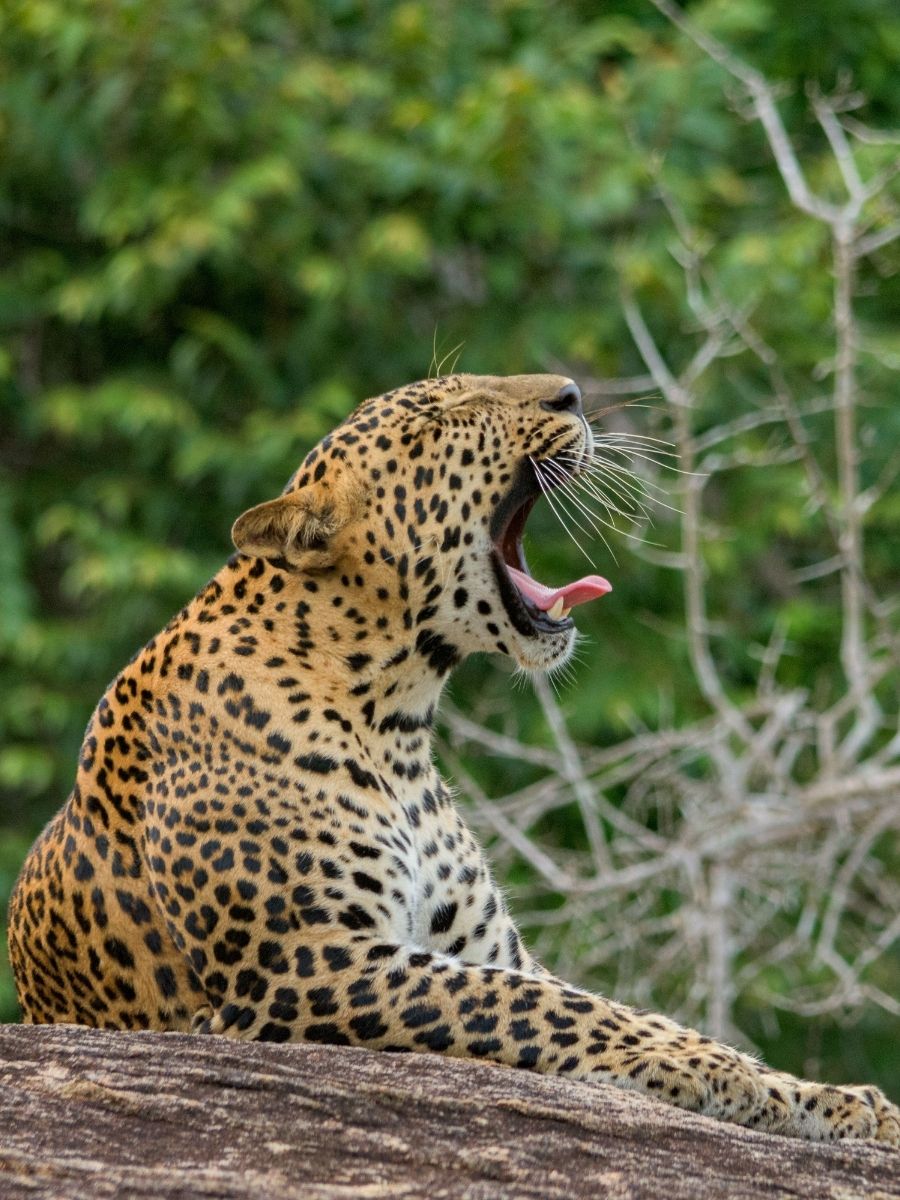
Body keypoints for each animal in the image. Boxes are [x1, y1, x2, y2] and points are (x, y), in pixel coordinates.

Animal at [7, 373, 899, 1145]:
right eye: (443, 417)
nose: (572, 392)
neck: (393, 720)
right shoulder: (301, 962)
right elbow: (546, 1009)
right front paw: (720, 1072)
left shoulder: (485, 947)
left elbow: (583, 999)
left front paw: (827, 1099)